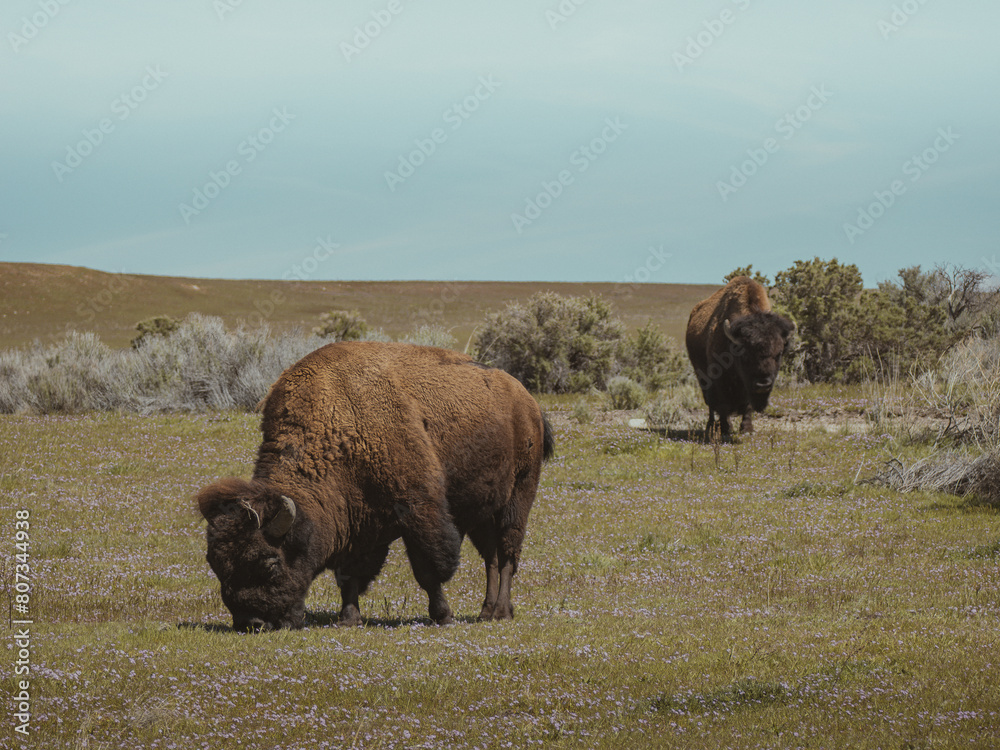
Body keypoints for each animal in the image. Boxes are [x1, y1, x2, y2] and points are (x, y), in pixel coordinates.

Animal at [195, 344, 556, 632]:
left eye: (269, 562)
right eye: (216, 565)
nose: (252, 623)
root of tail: (529, 403)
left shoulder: (418, 512)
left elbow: (429, 570)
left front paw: (442, 615)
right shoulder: (358, 521)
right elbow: (350, 575)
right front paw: (348, 618)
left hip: (517, 499)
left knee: (507, 555)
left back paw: (500, 613)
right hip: (482, 513)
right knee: (491, 558)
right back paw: (486, 612)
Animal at [684, 280, 792, 438]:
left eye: (778, 354)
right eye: (745, 354)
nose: (763, 385)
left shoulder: (747, 387)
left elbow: (748, 405)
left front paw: (747, 429)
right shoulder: (720, 380)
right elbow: (723, 405)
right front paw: (725, 429)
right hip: (702, 377)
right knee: (710, 404)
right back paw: (711, 426)